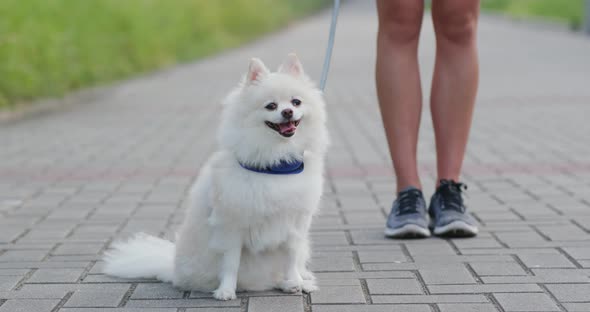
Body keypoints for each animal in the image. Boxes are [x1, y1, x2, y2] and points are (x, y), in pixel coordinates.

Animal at [104, 53, 330, 300]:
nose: (287, 112)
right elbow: (231, 262)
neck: (275, 163)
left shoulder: (296, 225)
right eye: (271, 106)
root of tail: (172, 269)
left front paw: (295, 281)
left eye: (296, 102)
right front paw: (226, 290)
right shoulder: (231, 225)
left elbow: (291, 257)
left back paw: (296, 282)